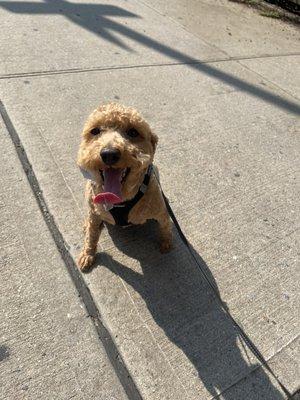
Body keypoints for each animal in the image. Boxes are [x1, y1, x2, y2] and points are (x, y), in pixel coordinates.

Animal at [76, 103, 172, 272]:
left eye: (133, 132)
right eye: (95, 131)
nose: (109, 154)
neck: (120, 201)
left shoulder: (161, 212)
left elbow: (165, 226)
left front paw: (166, 242)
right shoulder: (93, 212)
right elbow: (91, 236)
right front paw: (88, 254)